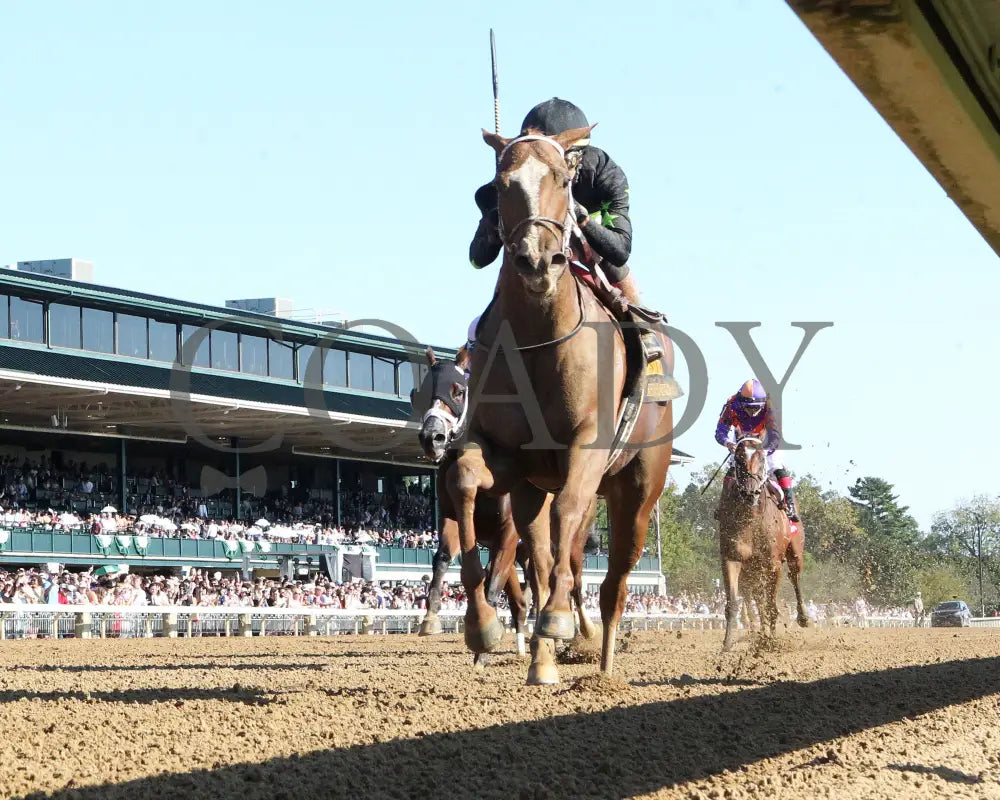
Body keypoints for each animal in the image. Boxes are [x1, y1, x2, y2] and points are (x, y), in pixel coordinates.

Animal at [716, 438, 808, 648]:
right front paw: (727, 644)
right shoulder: (732, 558)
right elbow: (734, 603)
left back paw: (802, 617)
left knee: (795, 576)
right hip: (753, 569)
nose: (751, 492)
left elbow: (770, 605)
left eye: (761, 460)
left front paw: (770, 642)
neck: (751, 519)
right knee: (758, 598)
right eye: (739, 460)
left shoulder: (773, 564)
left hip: (795, 552)